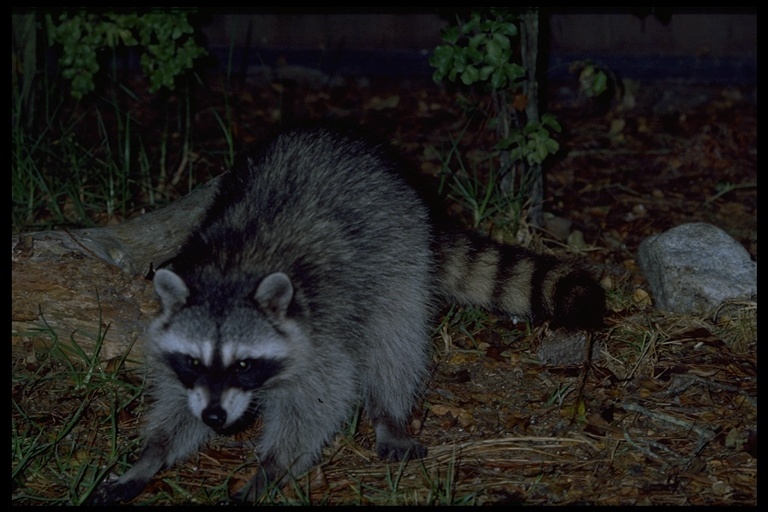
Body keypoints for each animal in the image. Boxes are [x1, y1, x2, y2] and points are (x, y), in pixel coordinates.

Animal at [88, 125, 608, 504]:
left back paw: (389, 411)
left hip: (399, 252)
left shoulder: (318, 332)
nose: (215, 417)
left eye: (244, 363)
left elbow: (321, 398)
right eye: (195, 361)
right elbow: (178, 399)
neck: (230, 273)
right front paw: (153, 453)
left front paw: (271, 467)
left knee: (394, 337)